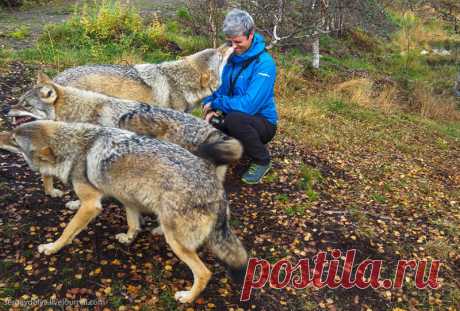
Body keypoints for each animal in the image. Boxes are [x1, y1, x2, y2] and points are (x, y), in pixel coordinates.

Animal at [0, 122, 248, 304]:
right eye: (12, 132)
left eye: (14, 140)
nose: (1, 135)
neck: (75, 149)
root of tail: (217, 190)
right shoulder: (126, 194)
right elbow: (132, 222)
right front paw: (129, 238)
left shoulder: (91, 205)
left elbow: (67, 231)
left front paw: (52, 248)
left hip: (177, 243)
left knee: (204, 273)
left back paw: (187, 297)